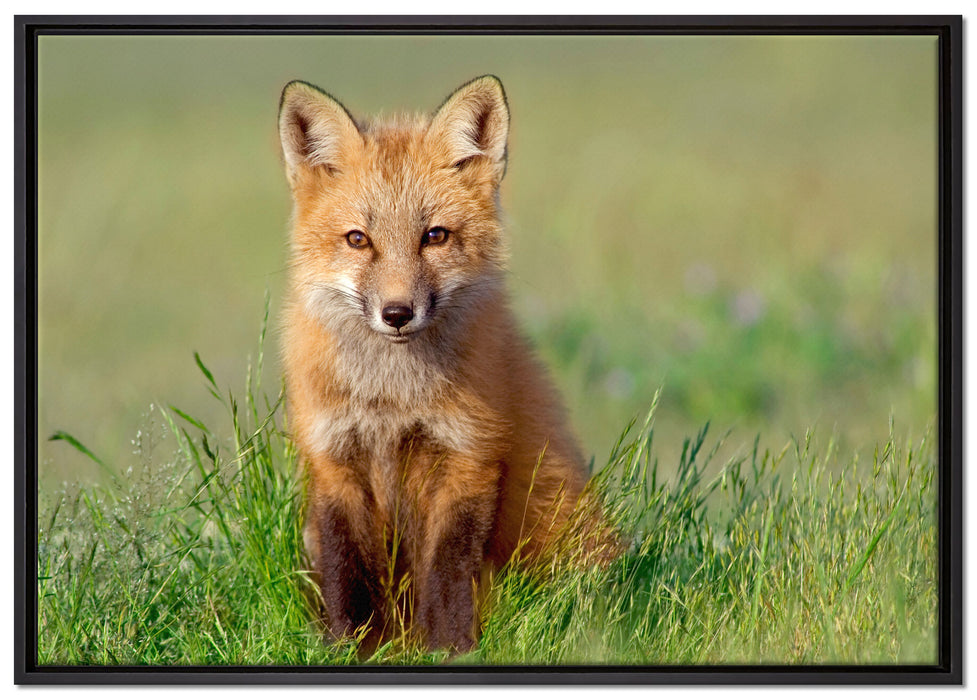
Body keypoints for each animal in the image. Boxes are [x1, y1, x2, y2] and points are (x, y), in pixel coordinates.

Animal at [278, 75, 615, 653]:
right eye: (358, 239)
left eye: (434, 236)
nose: (397, 313)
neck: (392, 400)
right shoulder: (333, 459)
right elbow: (346, 573)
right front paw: (350, 647)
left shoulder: (468, 455)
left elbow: (448, 571)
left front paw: (449, 649)